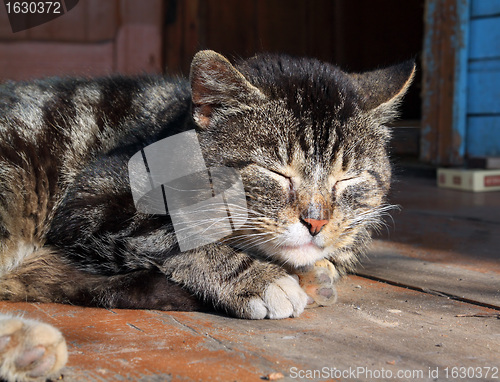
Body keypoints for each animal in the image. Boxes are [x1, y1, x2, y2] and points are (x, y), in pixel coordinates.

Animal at [0, 51, 414, 382]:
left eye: (349, 178)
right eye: (275, 173)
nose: (316, 222)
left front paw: (313, 269)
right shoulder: (94, 199)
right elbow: (178, 232)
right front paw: (263, 279)